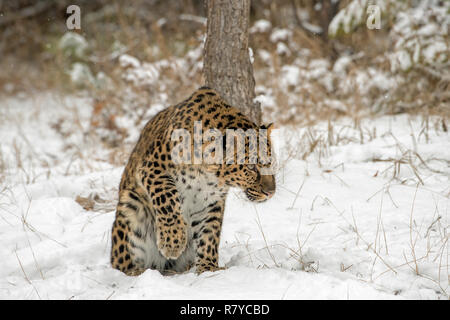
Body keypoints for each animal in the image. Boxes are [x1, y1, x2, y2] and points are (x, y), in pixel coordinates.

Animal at [110, 86, 276, 276]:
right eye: (251, 167)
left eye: (270, 162)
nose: (271, 193)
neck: (207, 171)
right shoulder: (152, 168)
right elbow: (167, 197)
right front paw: (172, 242)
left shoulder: (210, 200)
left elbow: (209, 232)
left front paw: (208, 268)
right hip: (131, 208)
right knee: (121, 262)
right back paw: (137, 271)